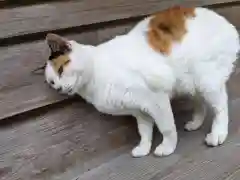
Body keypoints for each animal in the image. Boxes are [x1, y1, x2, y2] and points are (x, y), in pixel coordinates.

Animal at [44, 6, 239, 157]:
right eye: (52, 82)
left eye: (61, 70)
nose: (59, 88)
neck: (95, 73)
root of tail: (227, 23)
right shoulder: (139, 110)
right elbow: (144, 131)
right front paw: (143, 148)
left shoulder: (156, 98)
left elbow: (167, 127)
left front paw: (167, 147)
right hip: (190, 83)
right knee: (200, 103)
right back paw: (195, 123)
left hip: (206, 80)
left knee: (221, 106)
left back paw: (218, 134)